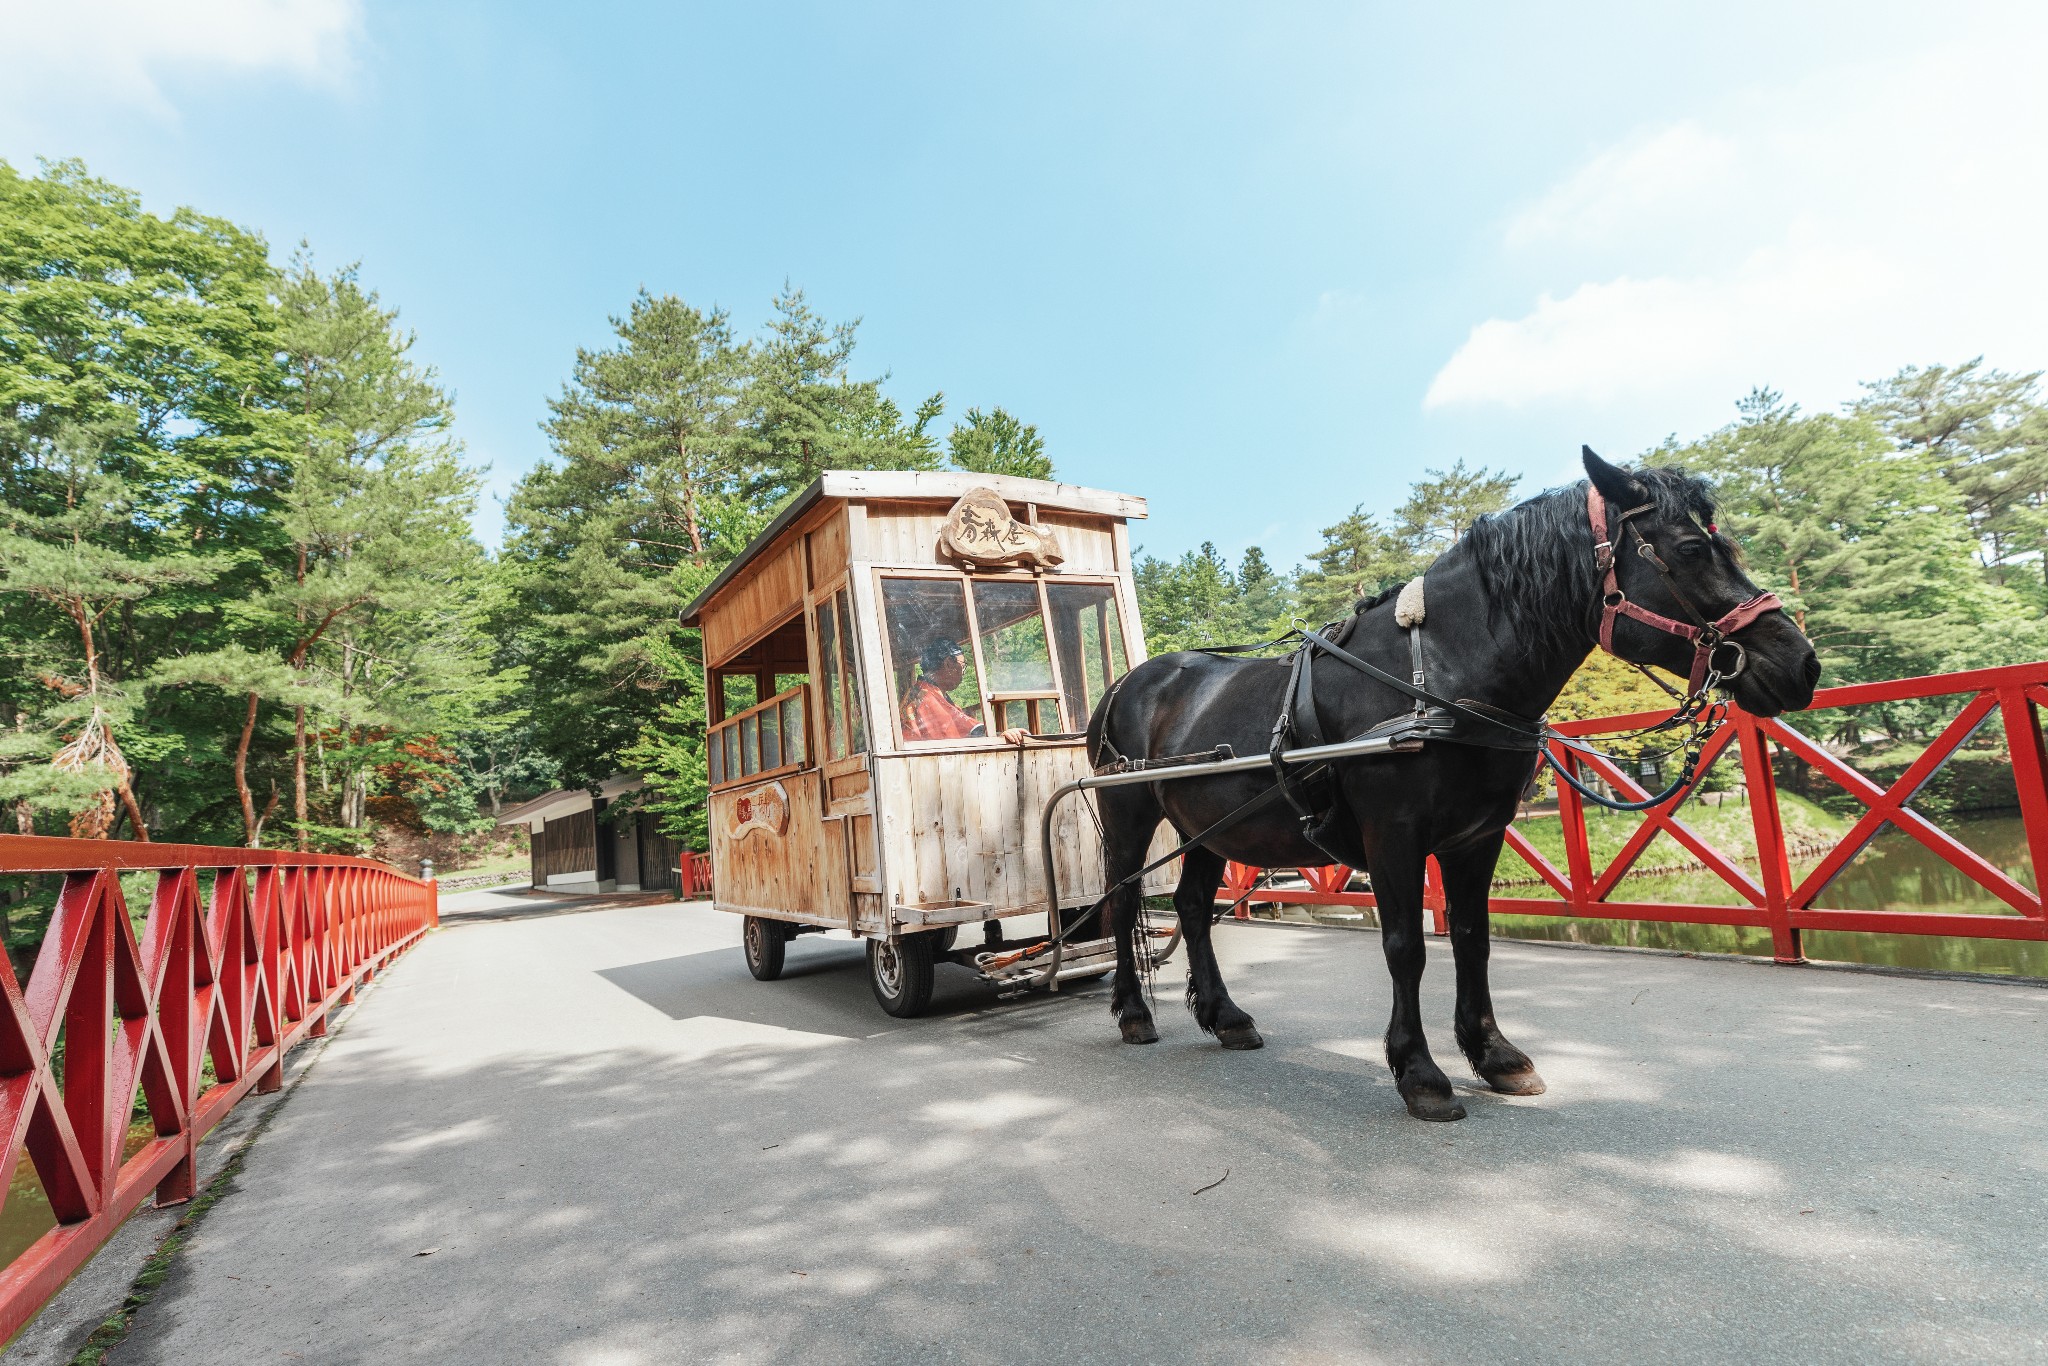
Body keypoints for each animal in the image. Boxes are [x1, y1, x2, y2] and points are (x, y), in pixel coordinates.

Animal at [1097, 448, 1818, 1122]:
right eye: (1692, 549)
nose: (1802, 663)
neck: (1439, 675)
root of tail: (1128, 681)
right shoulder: (1393, 836)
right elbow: (1406, 947)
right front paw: (1418, 1071)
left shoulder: (1477, 837)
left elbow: (1474, 937)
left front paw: (1494, 1053)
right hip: (1129, 815)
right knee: (1122, 900)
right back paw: (1133, 1012)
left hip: (1204, 827)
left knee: (1192, 905)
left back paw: (1226, 1016)